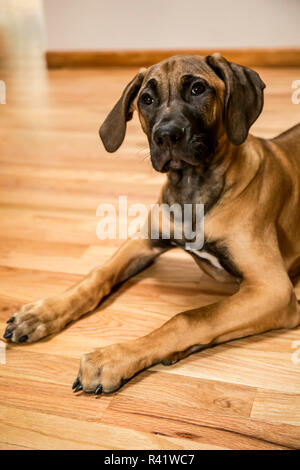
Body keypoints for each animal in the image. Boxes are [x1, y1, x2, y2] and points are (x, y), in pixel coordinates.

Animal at [2, 53, 300, 394]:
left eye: (198, 89)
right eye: (146, 99)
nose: (166, 135)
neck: (193, 187)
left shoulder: (272, 289)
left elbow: (189, 317)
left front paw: (111, 358)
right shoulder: (144, 239)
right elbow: (98, 273)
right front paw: (42, 313)